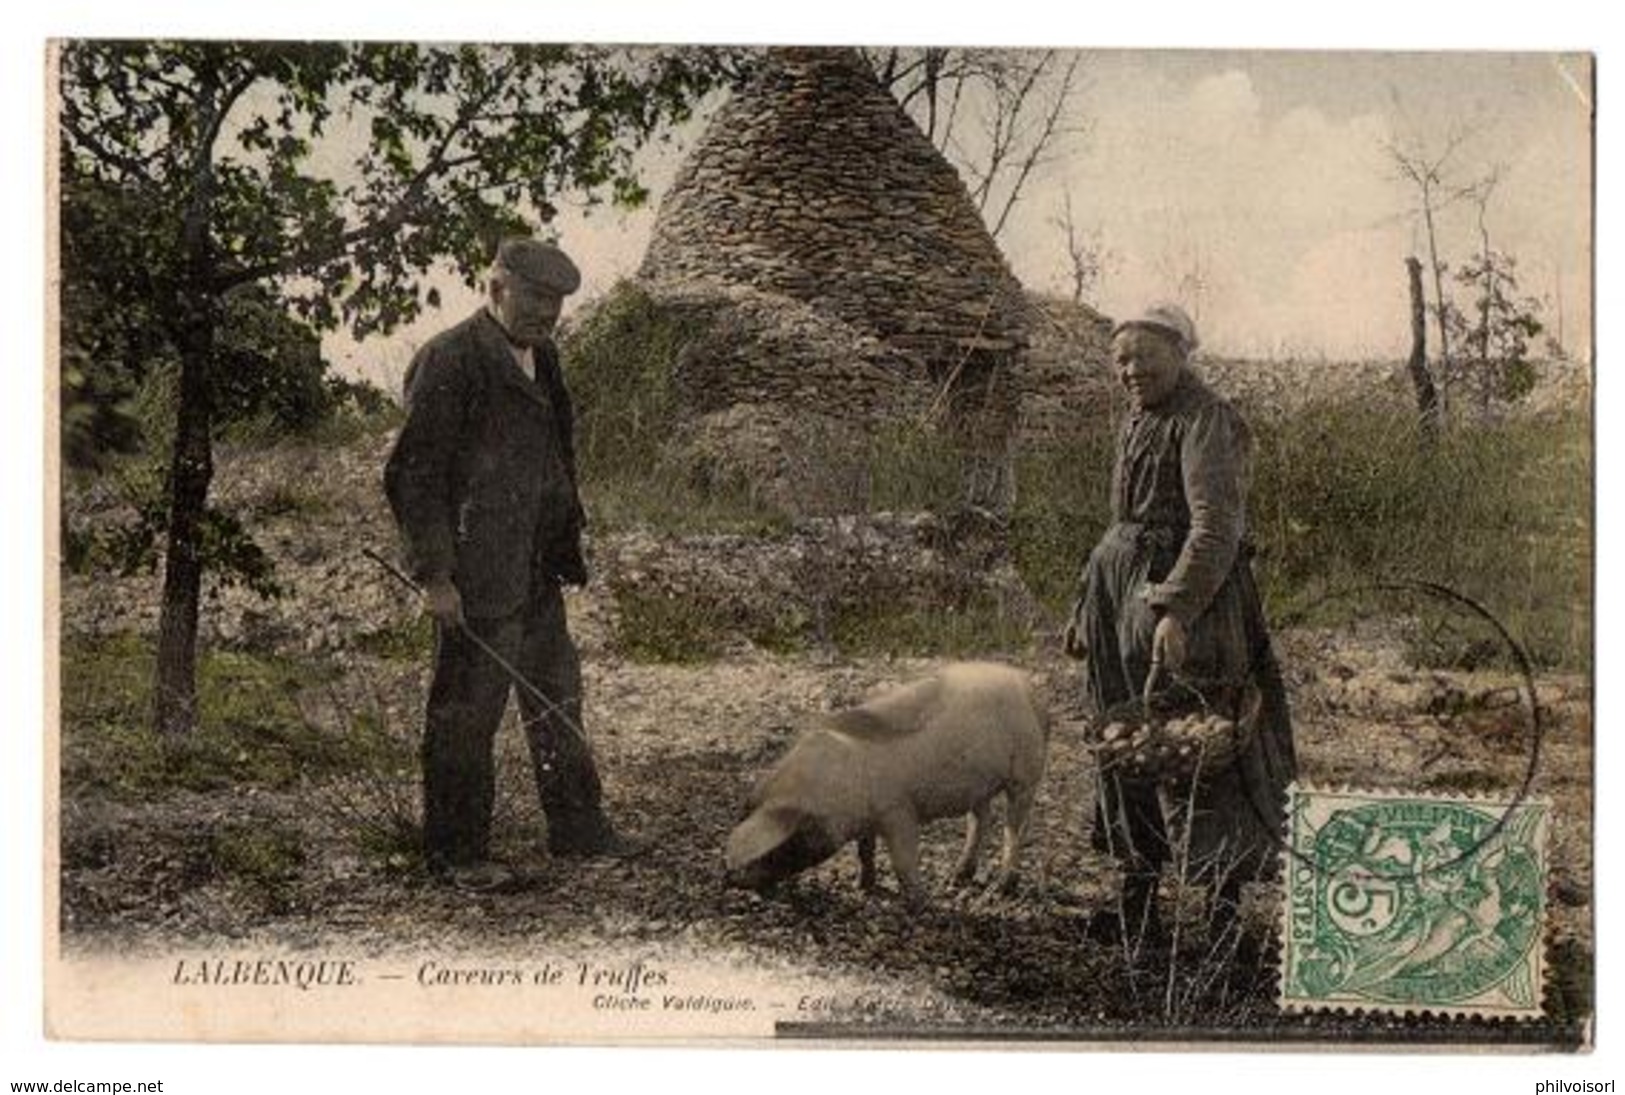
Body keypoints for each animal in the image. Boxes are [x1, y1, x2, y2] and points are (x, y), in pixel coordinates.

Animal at [724, 656, 1053, 903]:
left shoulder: (898, 810)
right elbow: (865, 852)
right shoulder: (866, 819)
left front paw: (922, 901)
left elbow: (902, 860)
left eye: (778, 849)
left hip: (1026, 776)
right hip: (979, 786)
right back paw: (956, 877)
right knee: (980, 819)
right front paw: (863, 887)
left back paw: (1000, 890)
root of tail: (1029, 689)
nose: (727, 876)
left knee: (1016, 829)